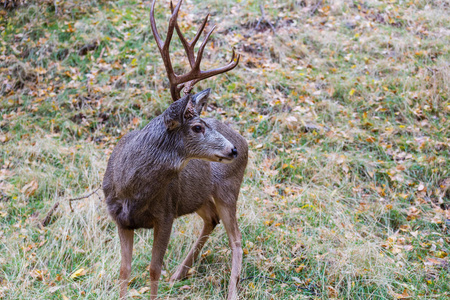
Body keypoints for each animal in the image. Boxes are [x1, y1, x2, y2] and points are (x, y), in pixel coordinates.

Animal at [102, 1, 248, 298]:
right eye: (197, 127)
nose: (233, 150)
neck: (131, 189)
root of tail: (245, 140)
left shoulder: (166, 213)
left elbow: (153, 270)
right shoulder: (120, 219)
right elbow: (124, 272)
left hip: (228, 189)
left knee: (237, 239)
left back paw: (231, 291)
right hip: (198, 197)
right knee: (212, 219)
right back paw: (179, 273)